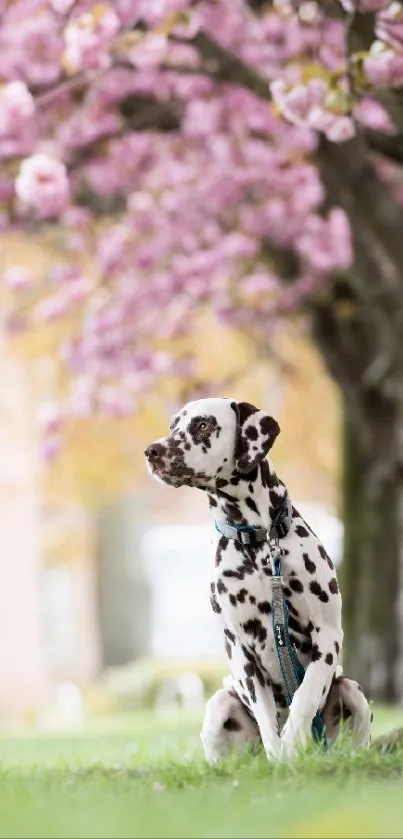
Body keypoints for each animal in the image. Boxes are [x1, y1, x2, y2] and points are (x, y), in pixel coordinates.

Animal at [145, 398, 372, 760]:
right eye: (172, 427)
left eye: (203, 425)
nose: (152, 451)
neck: (259, 541)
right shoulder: (240, 651)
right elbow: (267, 721)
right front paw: (280, 757)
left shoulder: (327, 635)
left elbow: (305, 695)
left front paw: (293, 741)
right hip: (219, 705)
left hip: (353, 692)